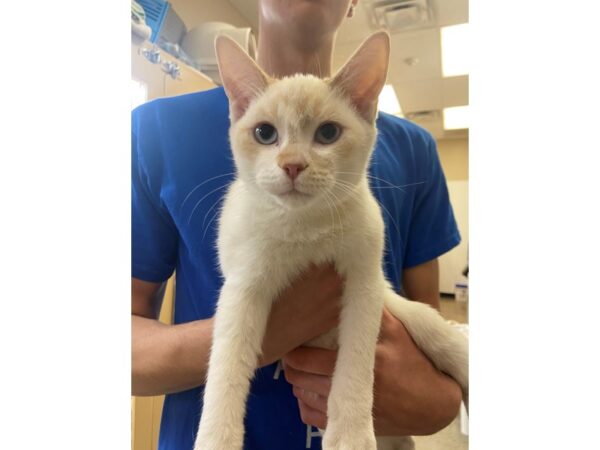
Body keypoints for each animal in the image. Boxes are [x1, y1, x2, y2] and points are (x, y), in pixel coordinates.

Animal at [196, 32, 468, 450]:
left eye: (327, 134)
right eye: (264, 133)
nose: (292, 165)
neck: (305, 225)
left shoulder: (364, 282)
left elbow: (356, 362)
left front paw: (351, 433)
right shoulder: (244, 289)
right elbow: (225, 365)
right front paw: (215, 438)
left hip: (397, 302)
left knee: (432, 327)